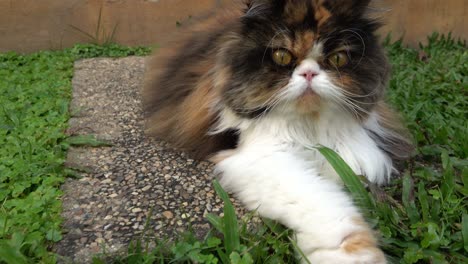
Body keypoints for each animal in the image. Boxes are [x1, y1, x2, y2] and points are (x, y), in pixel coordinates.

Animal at [144, 0, 414, 262]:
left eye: (337, 59)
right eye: (282, 56)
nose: (309, 73)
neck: (307, 126)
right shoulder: (260, 156)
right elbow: (328, 207)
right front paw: (354, 255)